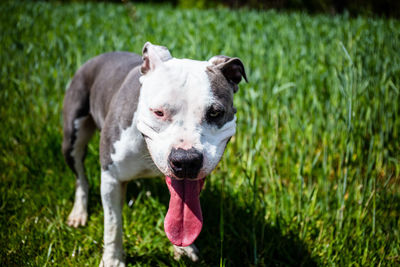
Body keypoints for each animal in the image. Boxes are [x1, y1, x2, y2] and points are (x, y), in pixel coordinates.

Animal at [61, 42, 247, 266]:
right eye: (158, 112)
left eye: (215, 113)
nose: (186, 160)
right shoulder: (111, 177)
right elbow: (113, 224)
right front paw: (113, 260)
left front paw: (183, 249)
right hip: (71, 138)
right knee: (80, 177)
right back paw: (79, 212)